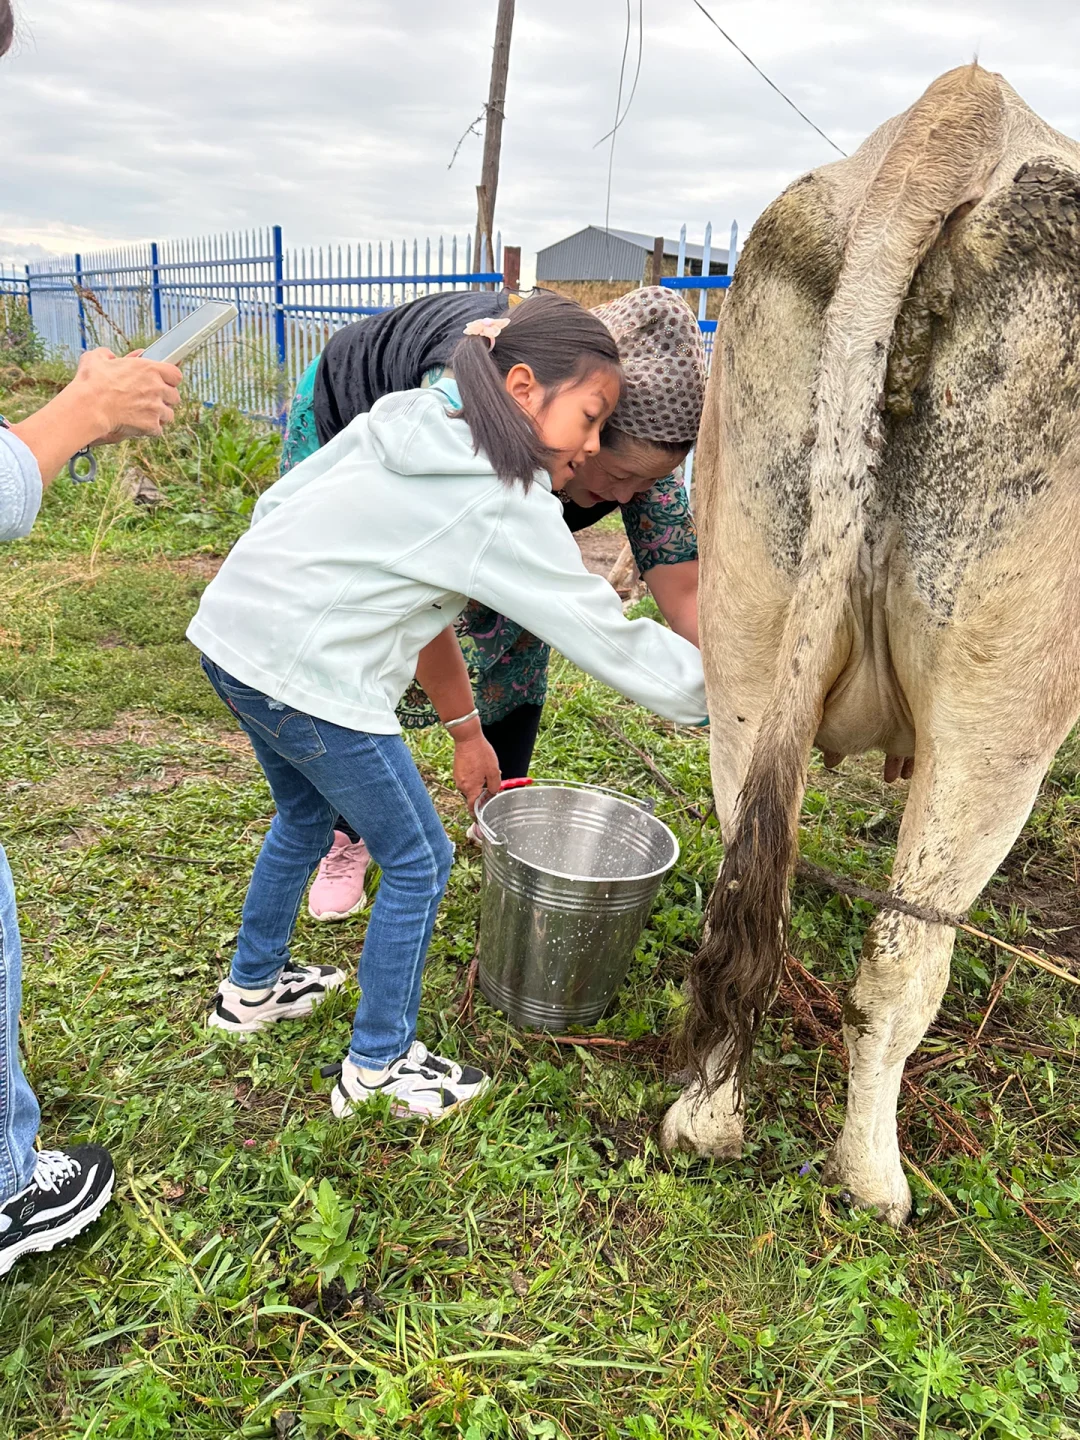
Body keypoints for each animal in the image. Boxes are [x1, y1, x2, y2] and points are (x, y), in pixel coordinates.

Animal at [659, 67, 1080, 1226]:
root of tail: (958, 116)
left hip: (746, 635)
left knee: (746, 892)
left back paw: (707, 1119)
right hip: (1003, 712)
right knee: (901, 962)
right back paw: (874, 1179)